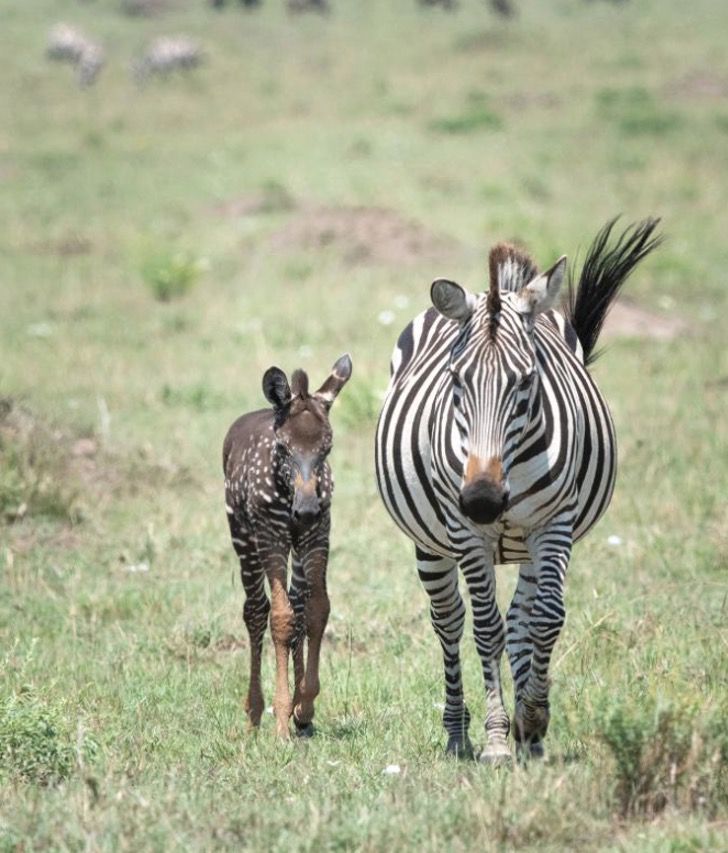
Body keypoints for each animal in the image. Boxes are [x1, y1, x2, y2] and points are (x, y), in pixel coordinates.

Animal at [223, 355, 352, 738]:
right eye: (282, 447)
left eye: (327, 448)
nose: (306, 510)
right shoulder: (272, 536)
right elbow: (280, 618)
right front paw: (282, 719)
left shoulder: (317, 536)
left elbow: (316, 611)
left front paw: (304, 706)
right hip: (243, 539)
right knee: (255, 610)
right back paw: (254, 711)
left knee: (297, 601)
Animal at [375, 219, 661, 762]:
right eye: (455, 380)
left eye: (527, 380)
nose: (483, 501)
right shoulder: (466, 532)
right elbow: (486, 627)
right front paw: (495, 738)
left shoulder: (554, 524)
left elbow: (546, 618)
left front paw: (532, 721)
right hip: (431, 543)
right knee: (450, 620)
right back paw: (457, 733)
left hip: (527, 542)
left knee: (523, 616)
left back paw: (528, 735)